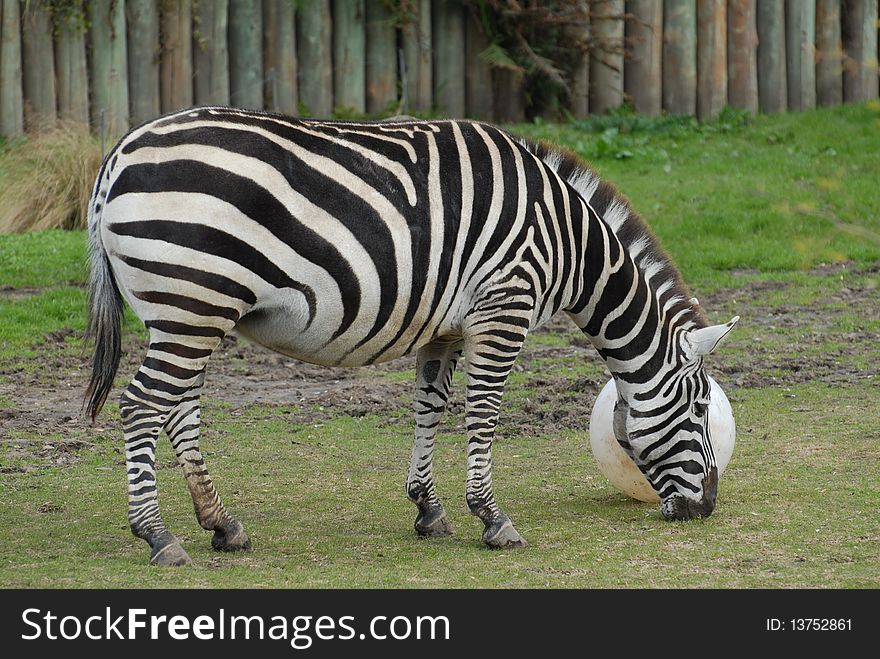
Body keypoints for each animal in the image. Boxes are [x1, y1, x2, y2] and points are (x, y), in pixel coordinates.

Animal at [86, 108, 740, 568]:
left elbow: (430, 406)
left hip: (188, 311)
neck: (570, 245)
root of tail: (119, 152)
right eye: (701, 409)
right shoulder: (503, 308)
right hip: (194, 299)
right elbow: (483, 412)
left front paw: (428, 508)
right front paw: (493, 519)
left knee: (177, 410)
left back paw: (221, 524)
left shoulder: (444, 327)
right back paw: (159, 536)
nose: (705, 508)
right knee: (141, 405)